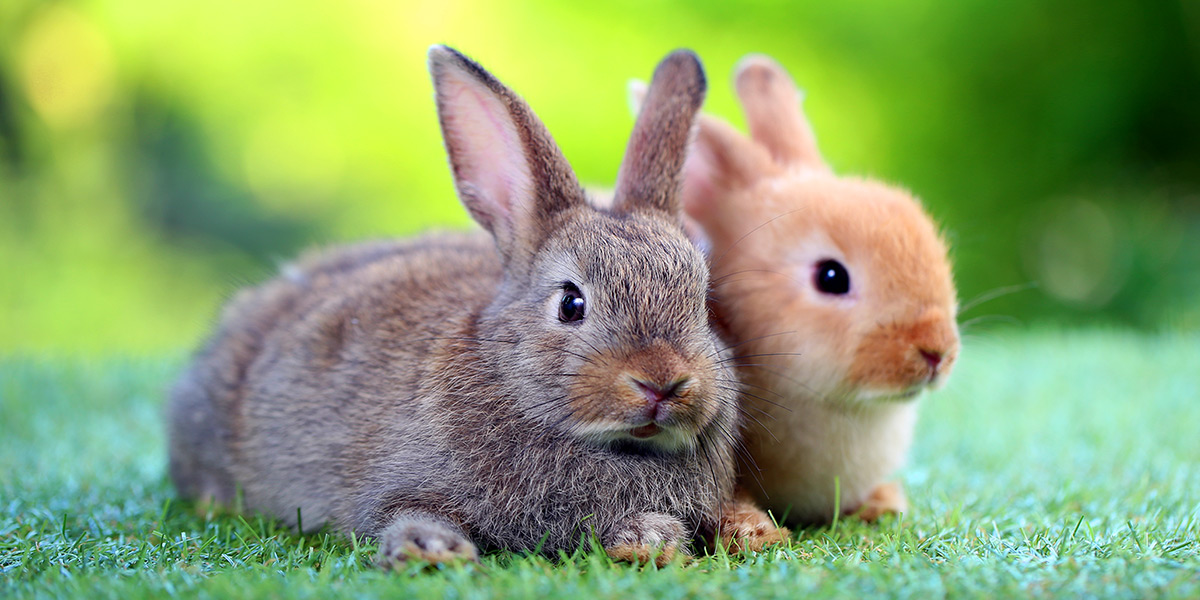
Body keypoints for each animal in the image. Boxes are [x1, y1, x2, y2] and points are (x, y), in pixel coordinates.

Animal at [167, 46, 744, 568]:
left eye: (700, 301)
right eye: (571, 303)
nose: (662, 382)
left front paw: (663, 538)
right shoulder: (397, 483)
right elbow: (405, 512)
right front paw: (432, 550)